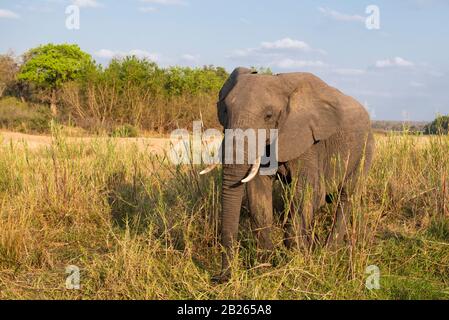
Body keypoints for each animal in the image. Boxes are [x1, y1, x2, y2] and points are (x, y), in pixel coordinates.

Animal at [200, 67, 374, 282]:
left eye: (268, 115)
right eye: (224, 110)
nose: (220, 278)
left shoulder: (309, 141)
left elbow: (307, 192)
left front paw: (298, 259)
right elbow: (258, 193)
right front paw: (265, 265)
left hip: (366, 149)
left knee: (347, 196)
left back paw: (328, 252)